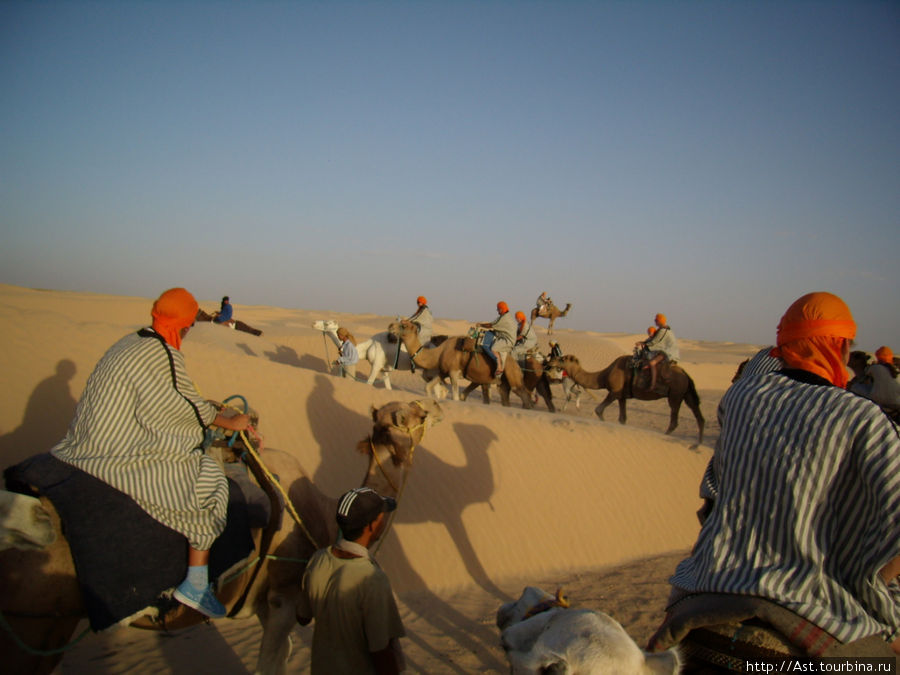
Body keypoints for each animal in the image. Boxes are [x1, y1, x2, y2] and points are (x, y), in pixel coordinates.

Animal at [0, 398, 442, 675]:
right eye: (410, 412)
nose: (436, 406)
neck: (321, 516)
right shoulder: (283, 599)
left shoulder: (264, 606)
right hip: (35, 628)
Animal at [388, 320, 536, 410]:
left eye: (403, 325)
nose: (390, 326)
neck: (439, 352)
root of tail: (516, 364)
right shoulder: (443, 372)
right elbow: (428, 387)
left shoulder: (453, 373)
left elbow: (455, 397)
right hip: (502, 383)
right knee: (506, 398)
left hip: (513, 376)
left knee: (524, 395)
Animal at [548, 354, 704, 448]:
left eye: (562, 359)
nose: (550, 361)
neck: (604, 375)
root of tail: (685, 374)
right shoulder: (622, 396)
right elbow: (622, 418)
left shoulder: (614, 392)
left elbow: (599, 410)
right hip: (686, 393)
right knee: (698, 415)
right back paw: (698, 443)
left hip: (675, 394)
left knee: (674, 419)